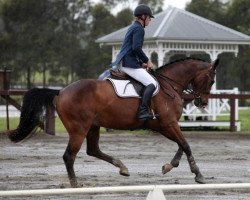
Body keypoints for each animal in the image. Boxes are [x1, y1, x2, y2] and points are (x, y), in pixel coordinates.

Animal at [7, 57, 219, 188]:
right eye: (210, 80)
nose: (202, 102)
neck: (170, 85)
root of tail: (60, 91)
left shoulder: (165, 125)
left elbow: (181, 145)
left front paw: (169, 166)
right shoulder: (167, 124)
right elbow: (186, 144)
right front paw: (198, 174)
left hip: (93, 126)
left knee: (92, 150)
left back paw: (122, 167)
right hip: (79, 129)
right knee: (69, 156)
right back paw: (75, 185)